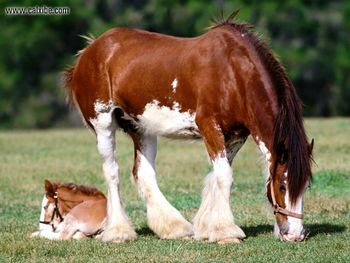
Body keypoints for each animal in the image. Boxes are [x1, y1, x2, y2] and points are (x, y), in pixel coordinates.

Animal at [64, 11, 314, 244]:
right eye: (282, 186)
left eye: (306, 186)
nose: (295, 234)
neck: (233, 72)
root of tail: (89, 51)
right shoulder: (210, 127)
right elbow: (224, 176)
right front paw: (226, 232)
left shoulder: (236, 136)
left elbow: (216, 175)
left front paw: (206, 228)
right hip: (103, 124)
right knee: (112, 172)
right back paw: (119, 232)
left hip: (142, 129)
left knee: (143, 173)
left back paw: (174, 227)